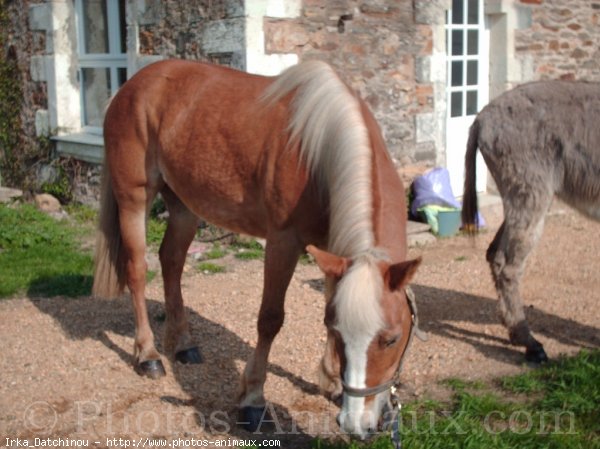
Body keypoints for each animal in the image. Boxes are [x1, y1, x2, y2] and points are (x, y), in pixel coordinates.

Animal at [94, 59, 422, 438]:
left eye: (392, 339)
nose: (358, 424)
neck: (318, 154)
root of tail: (131, 85)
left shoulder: (332, 249)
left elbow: (328, 300)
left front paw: (330, 381)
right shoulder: (283, 242)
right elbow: (270, 320)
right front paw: (252, 400)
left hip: (184, 206)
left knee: (171, 261)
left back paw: (184, 344)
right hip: (134, 198)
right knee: (137, 270)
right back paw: (147, 355)